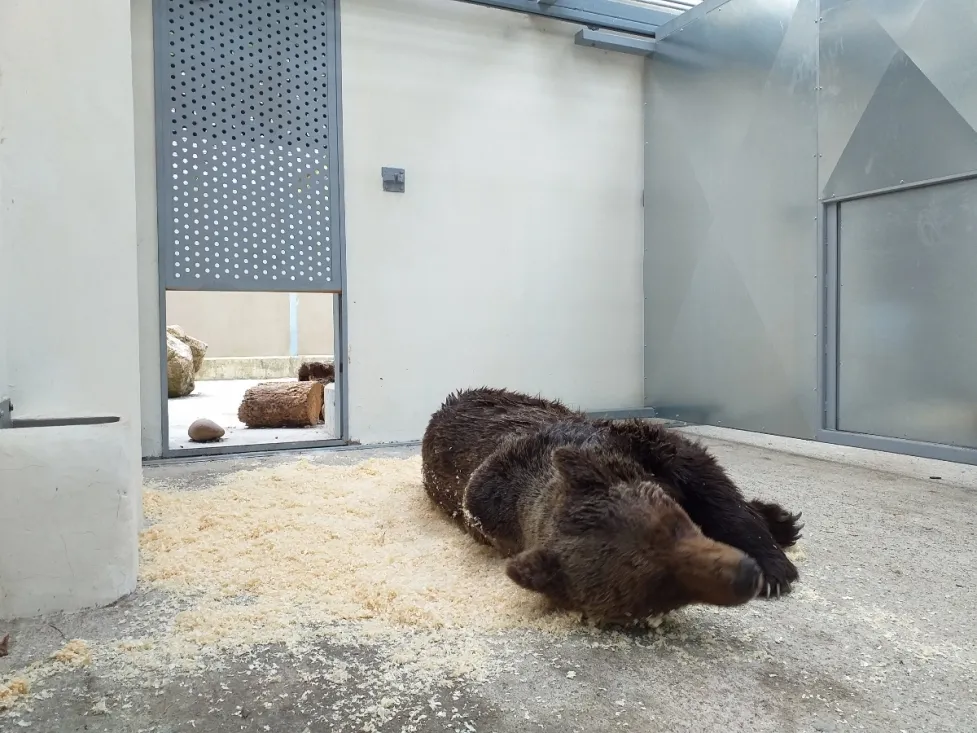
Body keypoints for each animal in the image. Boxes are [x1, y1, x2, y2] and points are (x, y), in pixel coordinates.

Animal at [421, 387, 803, 625]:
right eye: (657, 593)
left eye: (674, 525)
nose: (746, 577)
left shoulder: (641, 444)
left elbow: (714, 487)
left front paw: (775, 567)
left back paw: (780, 520)